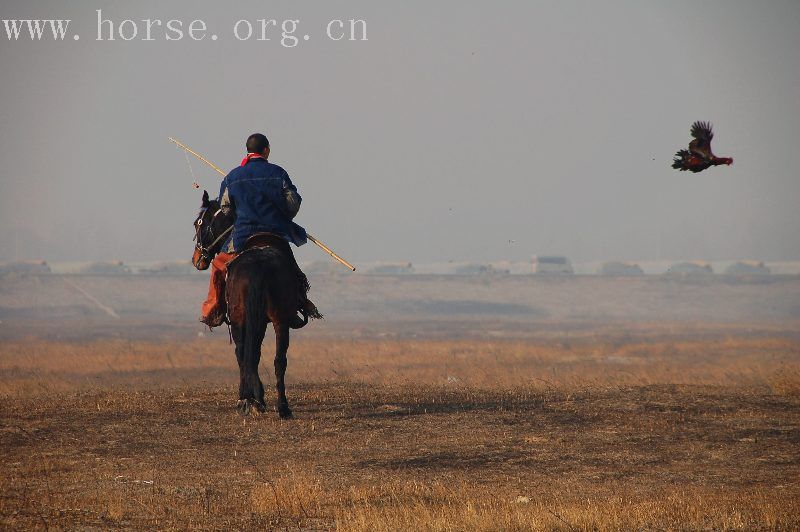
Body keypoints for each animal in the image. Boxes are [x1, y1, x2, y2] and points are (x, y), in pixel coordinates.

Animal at [192, 189, 302, 418]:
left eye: (198, 223)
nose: (197, 258)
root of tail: (258, 266)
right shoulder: (260, 320)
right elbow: (256, 353)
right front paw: (257, 396)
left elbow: (247, 353)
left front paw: (252, 396)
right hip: (275, 319)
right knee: (277, 359)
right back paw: (280, 406)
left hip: (243, 317)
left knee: (246, 353)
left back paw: (252, 400)